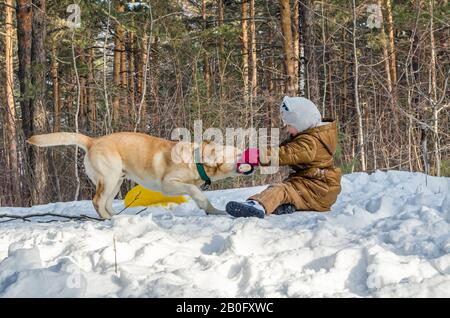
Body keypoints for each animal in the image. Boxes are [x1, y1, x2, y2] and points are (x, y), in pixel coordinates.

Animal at [27, 132, 246, 219]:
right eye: (237, 154)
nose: (249, 152)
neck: (196, 160)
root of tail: (93, 141)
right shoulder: (169, 184)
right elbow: (194, 190)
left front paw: (215, 211)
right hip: (109, 178)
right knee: (97, 201)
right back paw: (107, 219)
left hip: (116, 180)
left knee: (106, 202)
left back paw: (116, 217)